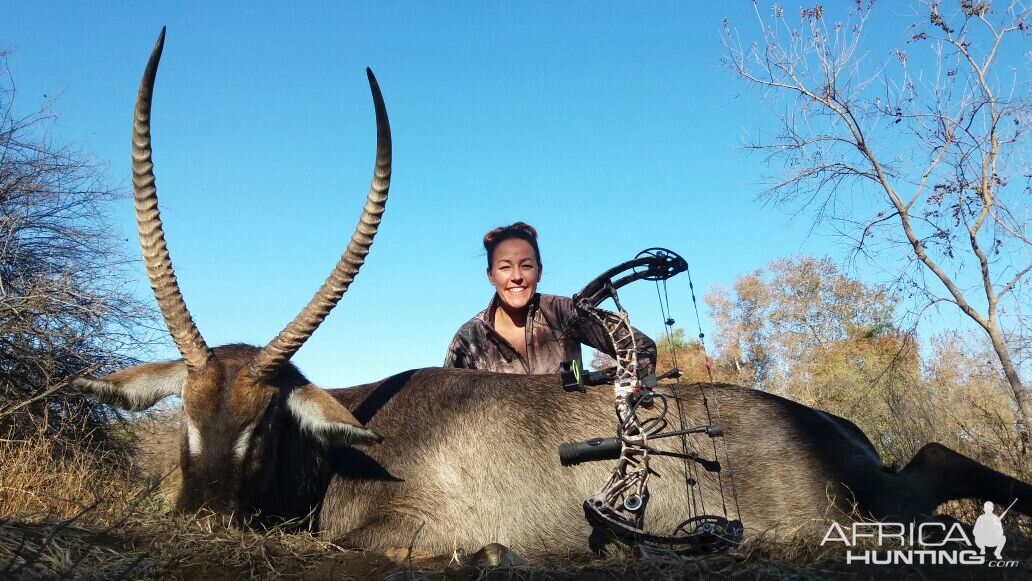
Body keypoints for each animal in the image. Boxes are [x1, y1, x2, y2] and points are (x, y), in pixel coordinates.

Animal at [74, 31, 1032, 557]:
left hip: (862, 508)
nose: (199, 522)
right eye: (185, 409)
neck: (345, 446)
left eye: (268, 420)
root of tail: (829, 423)